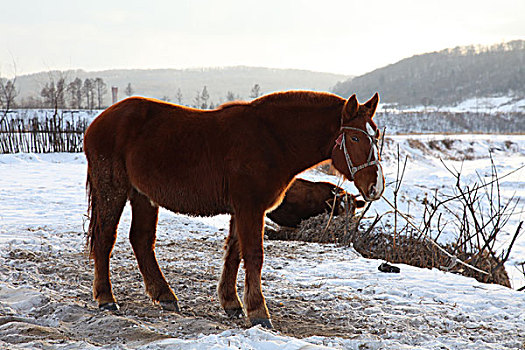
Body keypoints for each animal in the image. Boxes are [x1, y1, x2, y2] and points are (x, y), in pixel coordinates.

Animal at [83, 89, 384, 328]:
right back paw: (106, 298)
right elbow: (253, 255)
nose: (375, 187)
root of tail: (98, 122)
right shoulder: (250, 207)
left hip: (143, 196)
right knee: (105, 238)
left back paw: (164, 294)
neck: (272, 140)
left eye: (377, 135)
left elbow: (234, 253)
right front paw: (259, 311)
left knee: (141, 241)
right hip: (113, 189)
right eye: (355, 139)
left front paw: (232, 303)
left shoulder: (242, 210)